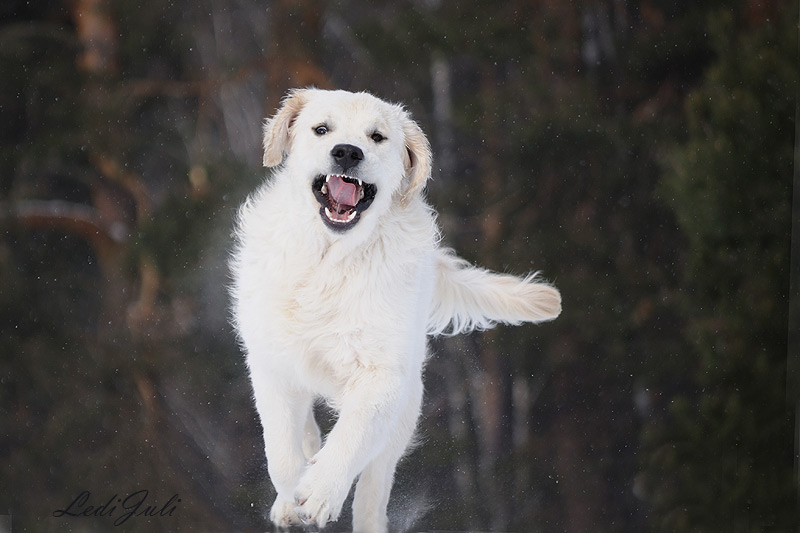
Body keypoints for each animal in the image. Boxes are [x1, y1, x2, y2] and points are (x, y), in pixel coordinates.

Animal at [228, 89, 560, 528]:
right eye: (322, 129)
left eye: (377, 137)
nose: (347, 152)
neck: (331, 261)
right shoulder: (273, 364)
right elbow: (281, 453)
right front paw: (293, 497)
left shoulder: (382, 376)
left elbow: (352, 437)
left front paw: (319, 491)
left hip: (405, 406)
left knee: (373, 485)